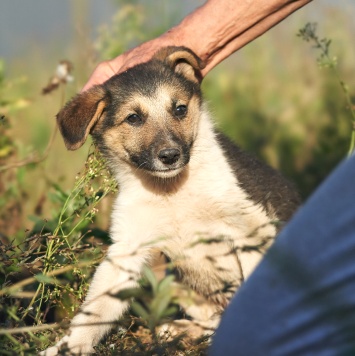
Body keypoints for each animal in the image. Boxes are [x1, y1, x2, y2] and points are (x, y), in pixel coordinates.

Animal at [43, 46, 300, 354]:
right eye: (133, 118)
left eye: (180, 109)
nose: (170, 155)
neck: (172, 191)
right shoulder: (127, 249)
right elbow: (94, 311)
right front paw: (68, 346)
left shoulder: (251, 230)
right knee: (212, 319)